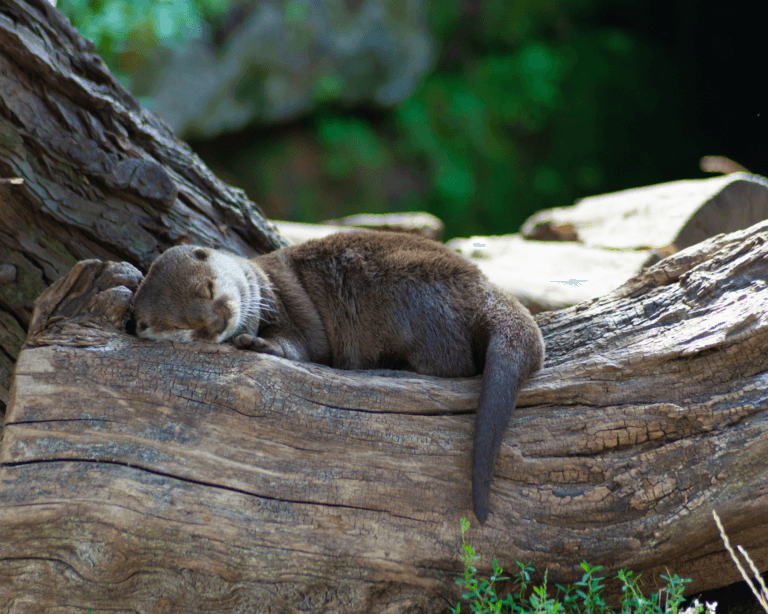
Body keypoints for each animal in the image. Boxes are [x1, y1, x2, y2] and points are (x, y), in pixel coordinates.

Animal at [132, 231, 544, 524]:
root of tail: (484, 288)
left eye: (209, 287)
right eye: (184, 326)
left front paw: (260, 344)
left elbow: (305, 345)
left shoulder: (290, 304)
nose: (219, 321)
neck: (261, 281)